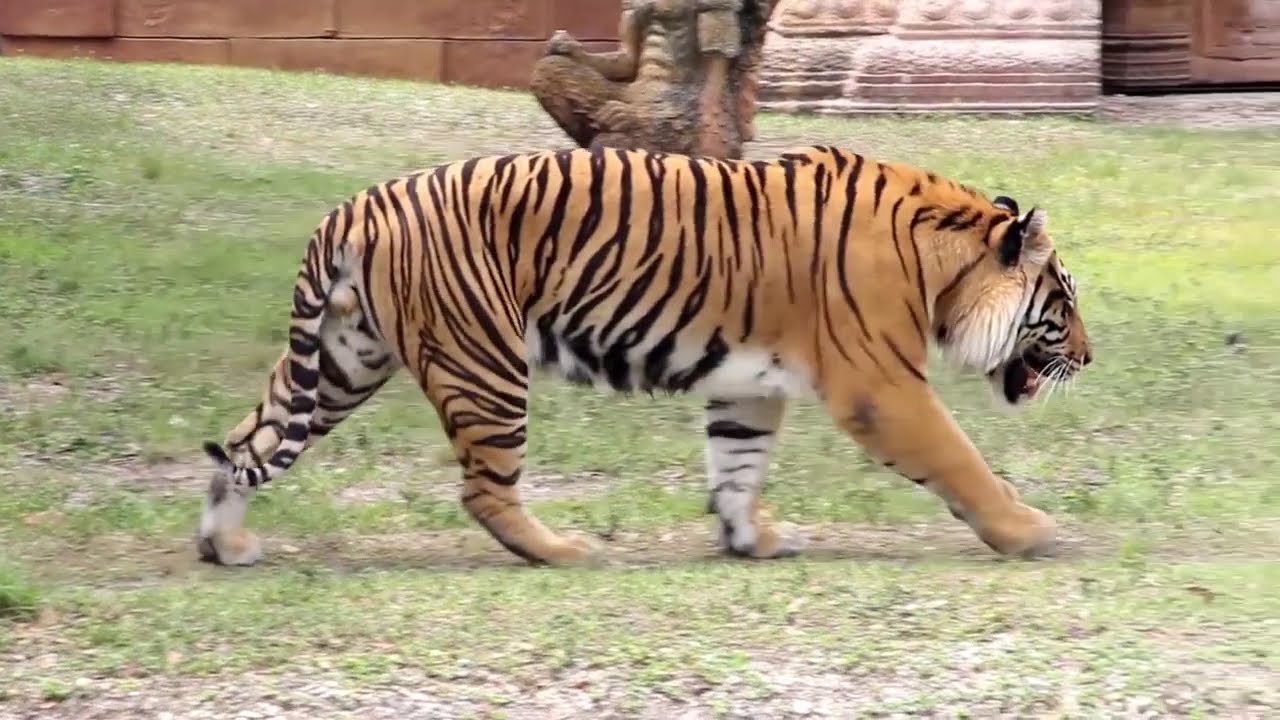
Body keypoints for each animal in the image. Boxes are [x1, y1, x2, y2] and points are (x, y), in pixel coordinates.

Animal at [196, 144, 1092, 568]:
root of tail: (354, 208)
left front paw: (750, 539)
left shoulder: (750, 385)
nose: (1088, 358)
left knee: (244, 445)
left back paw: (223, 544)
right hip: (483, 364)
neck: (946, 264)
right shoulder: (882, 388)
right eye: (1065, 303)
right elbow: (960, 460)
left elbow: (736, 467)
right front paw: (1029, 530)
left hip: (343, 363)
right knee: (485, 490)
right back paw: (562, 551)